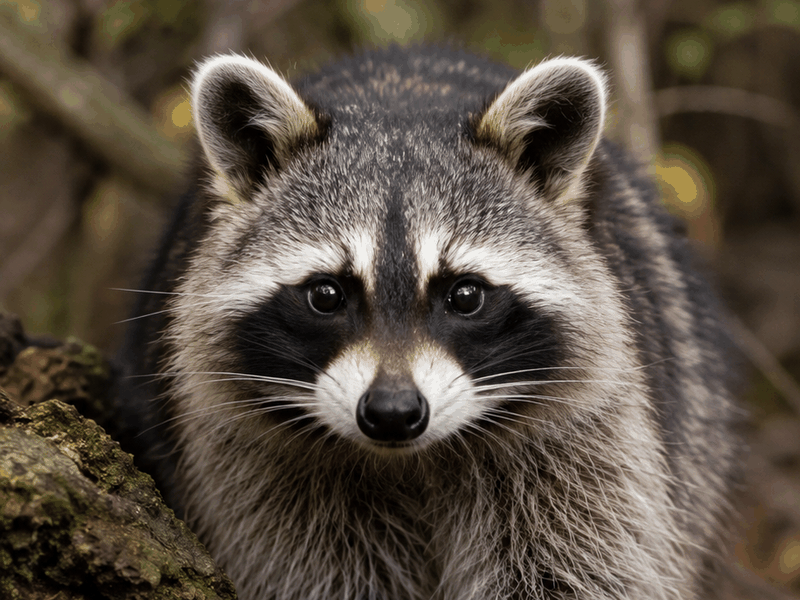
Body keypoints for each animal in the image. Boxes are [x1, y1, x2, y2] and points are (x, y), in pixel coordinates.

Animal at [118, 46, 739, 600]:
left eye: (465, 296)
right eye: (326, 295)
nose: (392, 413)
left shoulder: (585, 449)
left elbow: (575, 568)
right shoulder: (254, 466)